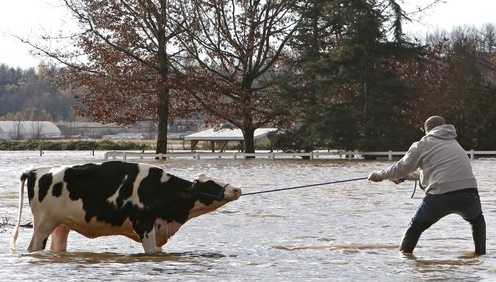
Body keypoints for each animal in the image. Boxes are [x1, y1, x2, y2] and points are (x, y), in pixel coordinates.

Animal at [7, 161, 240, 253]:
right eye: (210, 184)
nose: (237, 189)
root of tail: (36, 170)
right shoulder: (145, 227)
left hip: (61, 225)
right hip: (43, 225)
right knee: (34, 247)